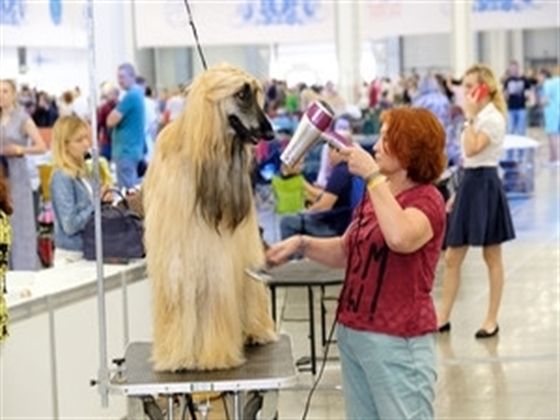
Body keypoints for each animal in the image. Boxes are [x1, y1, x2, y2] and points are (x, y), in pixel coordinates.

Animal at [142, 61, 278, 370]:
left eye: (256, 93)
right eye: (242, 93)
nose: (270, 133)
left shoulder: (213, 259)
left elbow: (214, 304)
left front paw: (215, 355)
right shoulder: (176, 260)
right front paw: (176, 355)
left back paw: (255, 331)